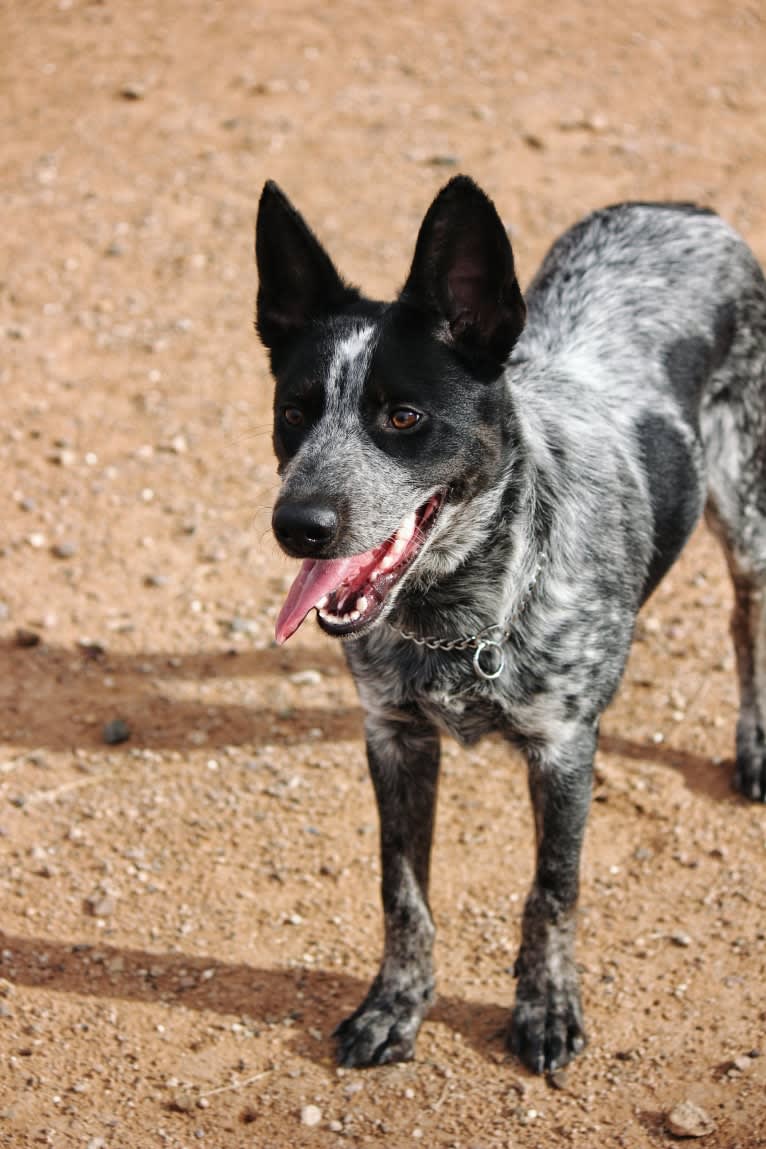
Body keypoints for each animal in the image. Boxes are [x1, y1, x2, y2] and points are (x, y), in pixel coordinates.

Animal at [254, 174, 766, 1070]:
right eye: (295, 411)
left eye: (402, 417)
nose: (299, 525)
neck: (458, 612)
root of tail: (685, 209)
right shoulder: (394, 734)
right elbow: (401, 889)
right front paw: (396, 1004)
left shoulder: (564, 748)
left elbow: (551, 889)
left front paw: (546, 1006)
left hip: (744, 504)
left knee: (747, 619)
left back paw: (754, 744)